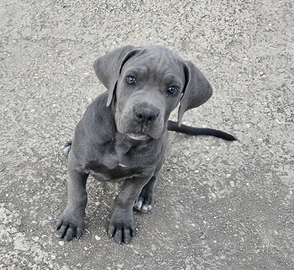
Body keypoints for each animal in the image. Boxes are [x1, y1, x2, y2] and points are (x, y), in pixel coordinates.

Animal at [56, 45, 237, 244]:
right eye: (131, 79)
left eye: (173, 89)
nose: (146, 114)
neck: (123, 141)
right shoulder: (77, 165)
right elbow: (78, 195)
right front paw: (71, 222)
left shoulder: (142, 174)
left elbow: (125, 198)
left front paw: (122, 223)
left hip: (158, 160)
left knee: (154, 178)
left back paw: (145, 198)